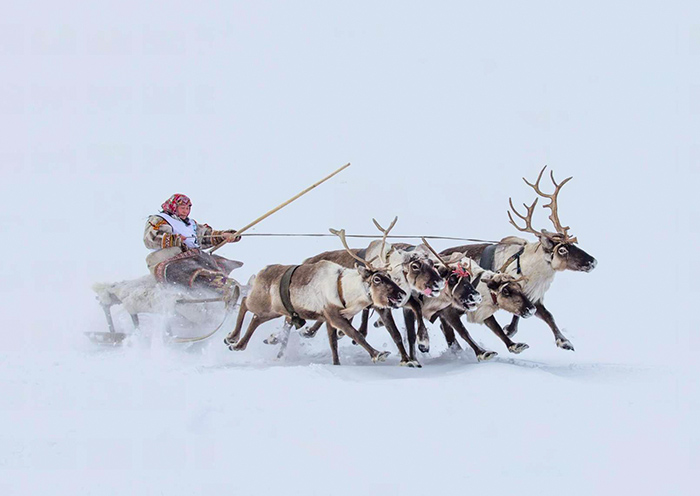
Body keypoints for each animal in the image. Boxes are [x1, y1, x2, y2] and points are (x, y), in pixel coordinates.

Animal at [223, 229, 407, 365]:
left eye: (388, 276)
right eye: (377, 279)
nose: (401, 294)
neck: (344, 289)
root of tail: (263, 269)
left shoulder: (329, 319)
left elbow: (333, 344)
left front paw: (337, 364)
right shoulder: (333, 315)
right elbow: (355, 335)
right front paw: (378, 354)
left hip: (275, 310)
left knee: (255, 319)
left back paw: (237, 344)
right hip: (261, 302)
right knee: (245, 303)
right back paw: (232, 338)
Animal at [440, 166, 597, 351]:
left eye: (573, 243)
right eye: (563, 249)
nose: (593, 261)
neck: (530, 270)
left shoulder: (533, 297)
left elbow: (548, 315)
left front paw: (564, 342)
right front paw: (510, 330)